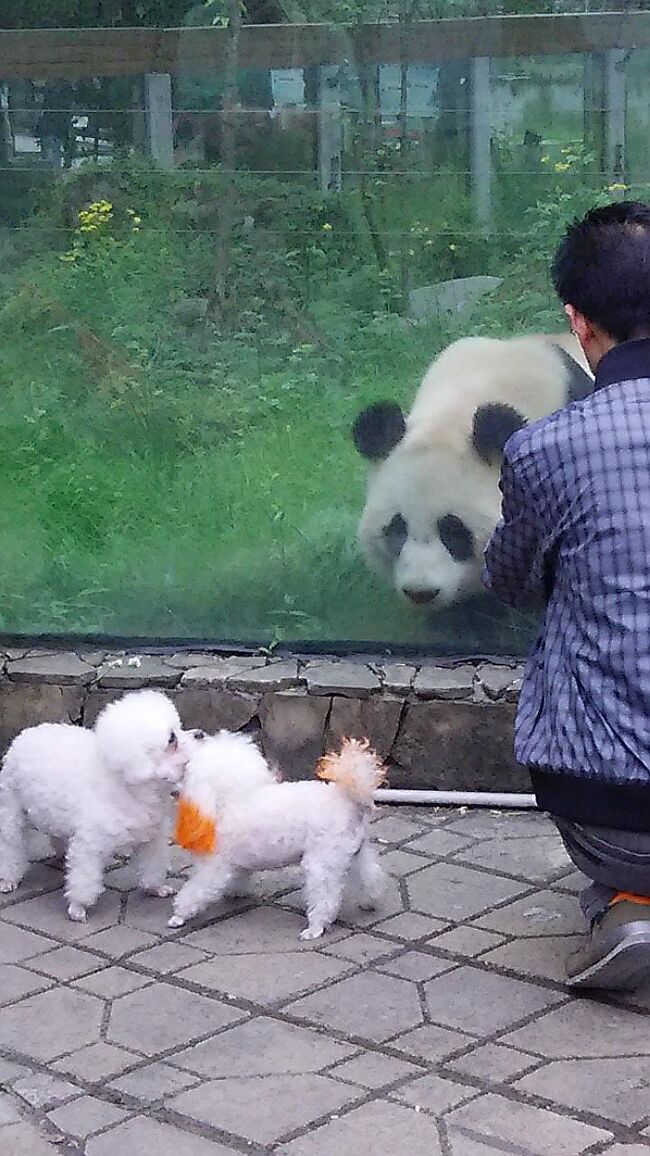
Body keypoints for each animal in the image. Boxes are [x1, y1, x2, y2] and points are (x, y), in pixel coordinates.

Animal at [0, 684, 200, 920]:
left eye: (179, 728)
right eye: (171, 739)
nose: (200, 734)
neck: (131, 788)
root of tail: (24, 734)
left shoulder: (152, 837)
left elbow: (153, 866)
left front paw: (155, 888)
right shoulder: (89, 846)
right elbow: (84, 880)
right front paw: (78, 907)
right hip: (11, 811)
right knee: (10, 845)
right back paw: (9, 879)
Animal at [170, 730, 386, 938]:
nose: (198, 734)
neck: (225, 799)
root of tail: (348, 799)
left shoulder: (215, 867)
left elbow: (196, 890)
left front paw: (179, 915)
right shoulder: (236, 862)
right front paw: (234, 893)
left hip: (321, 859)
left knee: (325, 898)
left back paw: (315, 928)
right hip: (353, 851)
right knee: (370, 874)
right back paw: (370, 901)